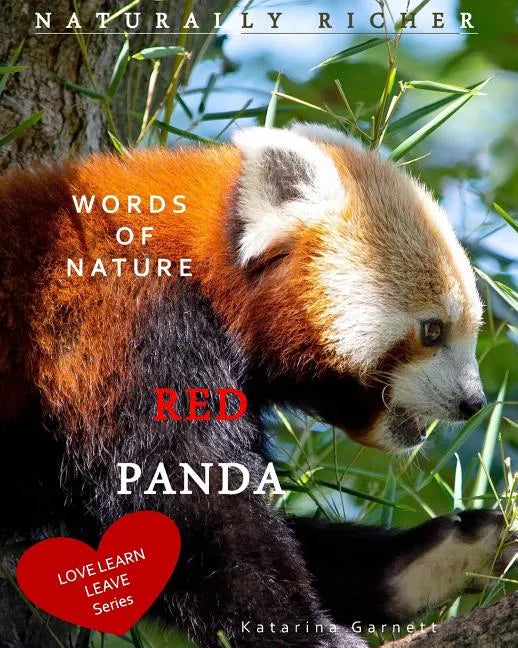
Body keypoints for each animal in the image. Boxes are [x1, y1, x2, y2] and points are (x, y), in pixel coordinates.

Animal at [0, 124, 514, 647]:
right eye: (433, 331)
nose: (472, 402)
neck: (202, 276)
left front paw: (428, 560)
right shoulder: (129, 337)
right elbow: (192, 508)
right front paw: (310, 633)